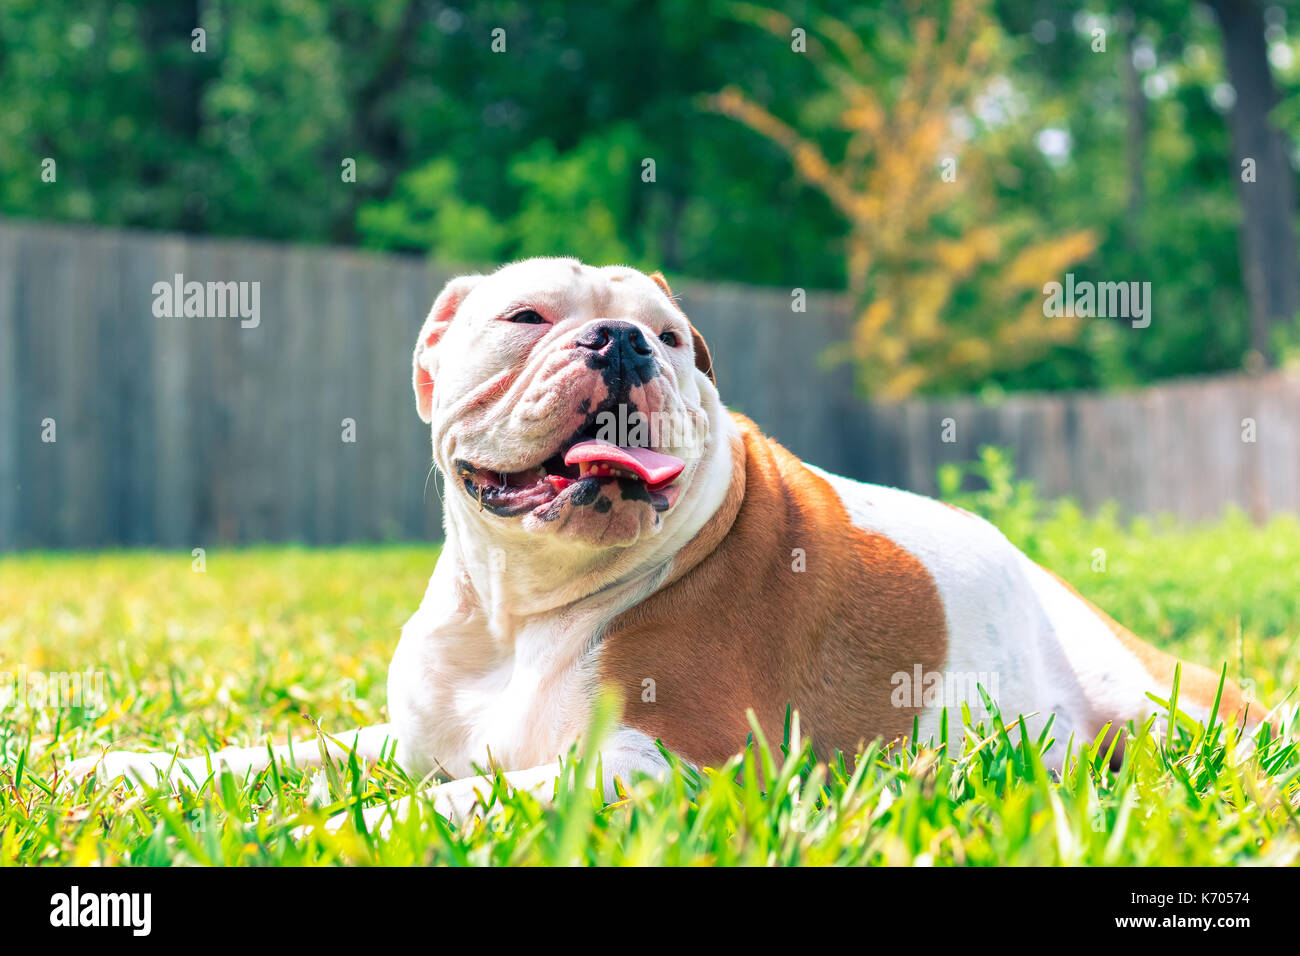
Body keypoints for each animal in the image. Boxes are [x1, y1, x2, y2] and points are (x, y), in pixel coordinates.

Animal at [65, 257, 1263, 832]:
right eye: (526, 317)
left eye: (677, 340)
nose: (625, 340)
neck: (520, 610)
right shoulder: (414, 734)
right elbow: (278, 755)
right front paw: (130, 767)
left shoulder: (662, 761)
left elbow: (449, 800)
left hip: (1155, 706)